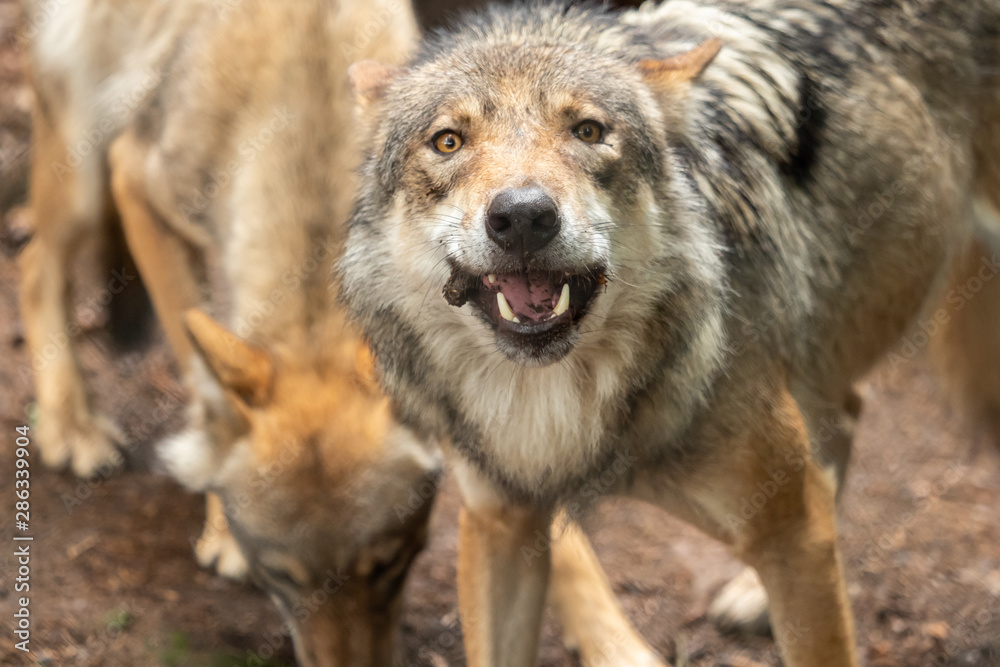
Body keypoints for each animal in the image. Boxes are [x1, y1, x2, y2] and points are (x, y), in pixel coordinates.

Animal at [15, 0, 669, 664]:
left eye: (391, 565)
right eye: (278, 579)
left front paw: (616, 643)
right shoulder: (139, 187)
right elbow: (201, 374)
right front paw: (220, 518)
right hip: (85, 174)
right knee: (37, 266)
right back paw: (71, 426)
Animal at [341, 0, 1000, 664]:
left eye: (588, 131)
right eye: (448, 141)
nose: (523, 216)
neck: (559, 415)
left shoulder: (792, 531)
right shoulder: (499, 521)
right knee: (849, 412)